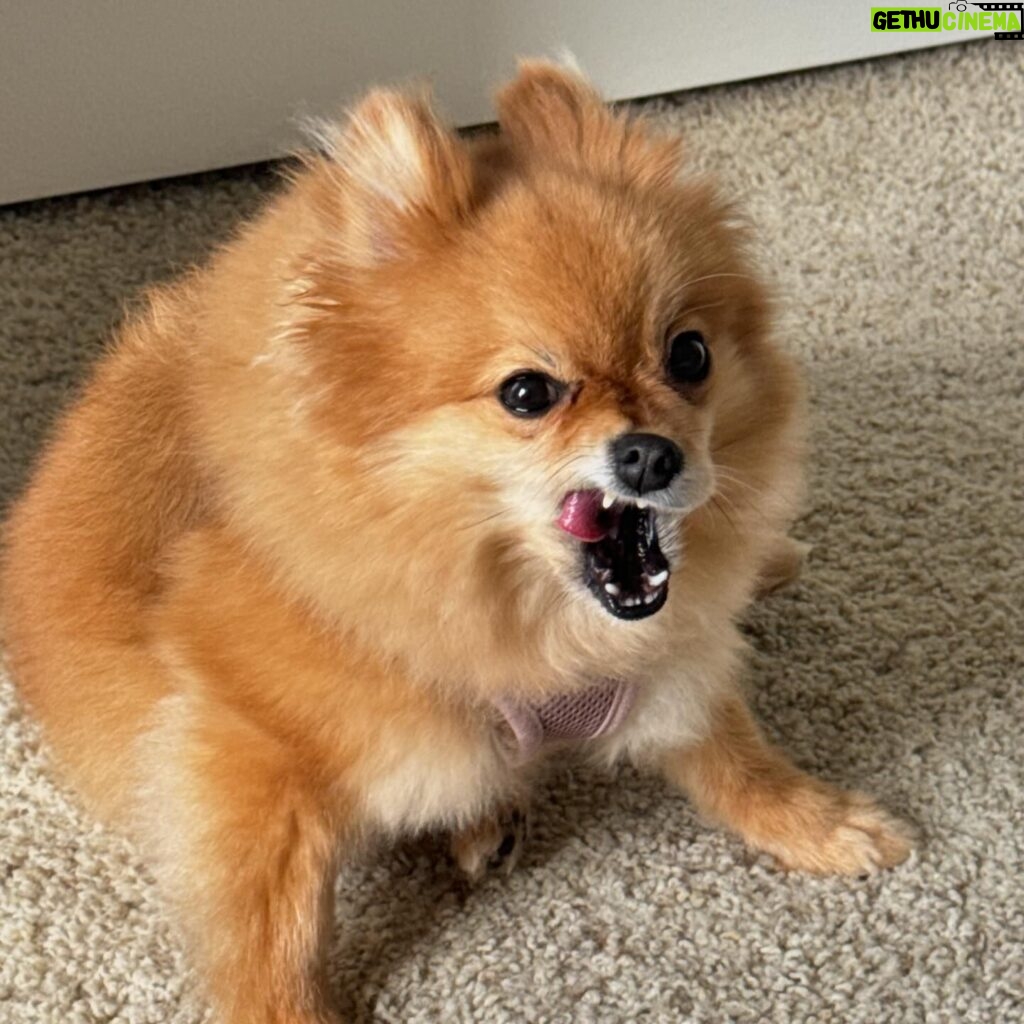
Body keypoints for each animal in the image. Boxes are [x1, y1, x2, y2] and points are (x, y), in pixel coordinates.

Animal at [2, 61, 913, 1024]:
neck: (528, 615)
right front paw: (290, 1007)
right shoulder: (244, 752)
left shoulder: (669, 653)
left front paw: (815, 820)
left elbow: (729, 746)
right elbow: (273, 931)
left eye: (689, 355)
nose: (650, 453)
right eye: (527, 393)